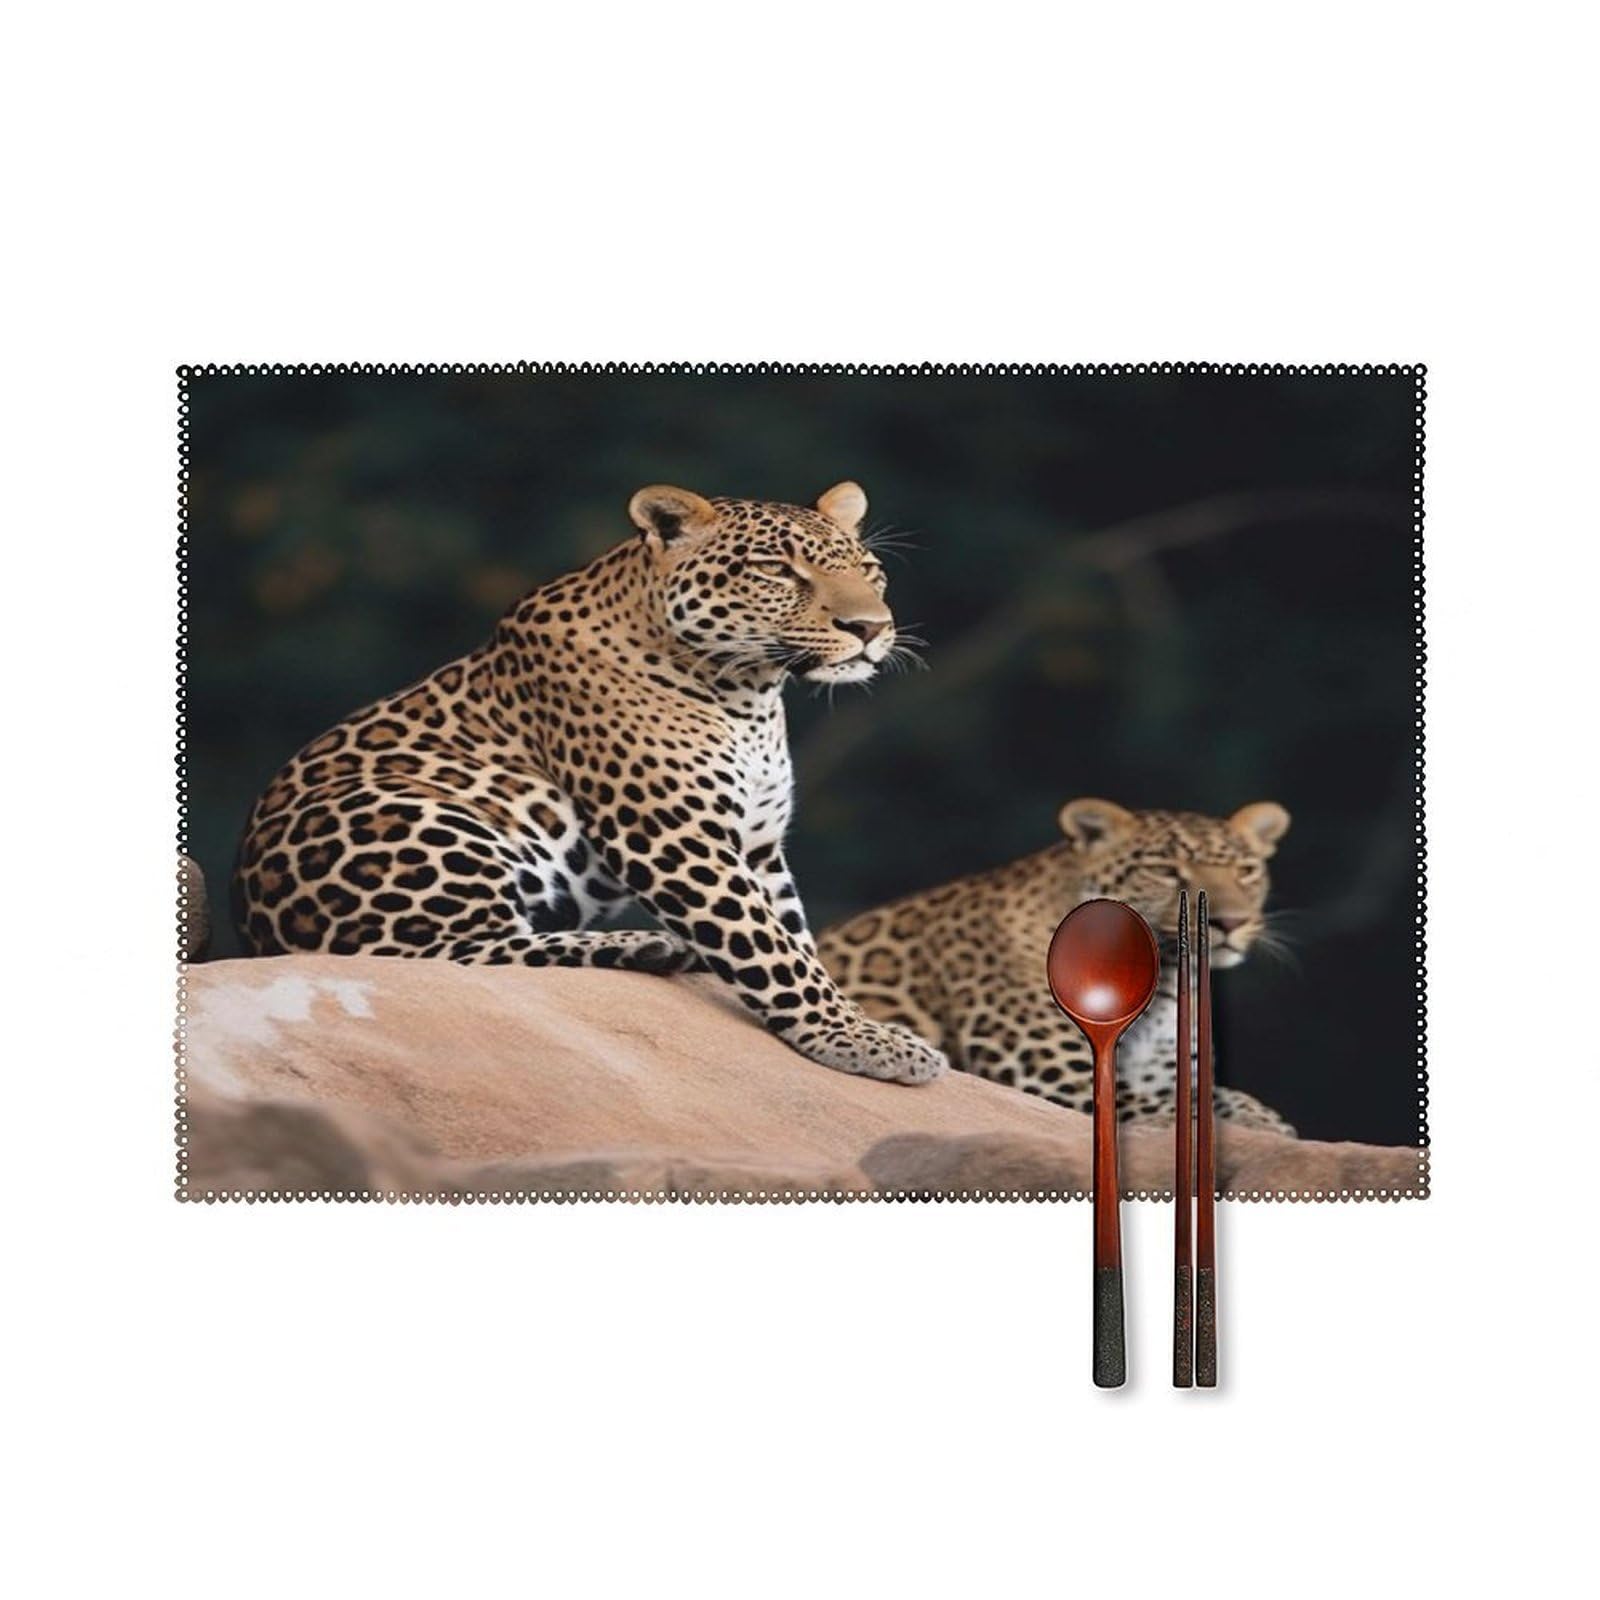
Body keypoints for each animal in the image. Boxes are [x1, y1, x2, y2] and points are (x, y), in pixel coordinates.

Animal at [232, 481, 948, 1085]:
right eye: (776, 570)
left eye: (869, 570)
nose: (870, 628)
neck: (749, 693)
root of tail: (256, 932)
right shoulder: (671, 836)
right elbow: (769, 948)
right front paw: (862, 1040)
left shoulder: (757, 845)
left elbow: (792, 939)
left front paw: (853, 1023)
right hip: (432, 816)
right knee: (428, 958)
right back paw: (641, 944)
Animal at [816, 797, 1296, 1131]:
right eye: (1163, 870)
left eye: (1247, 871)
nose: (1230, 922)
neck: (1160, 989)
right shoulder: (1050, 1071)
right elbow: (1163, 1106)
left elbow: (1211, 1095)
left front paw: (1264, 1118)